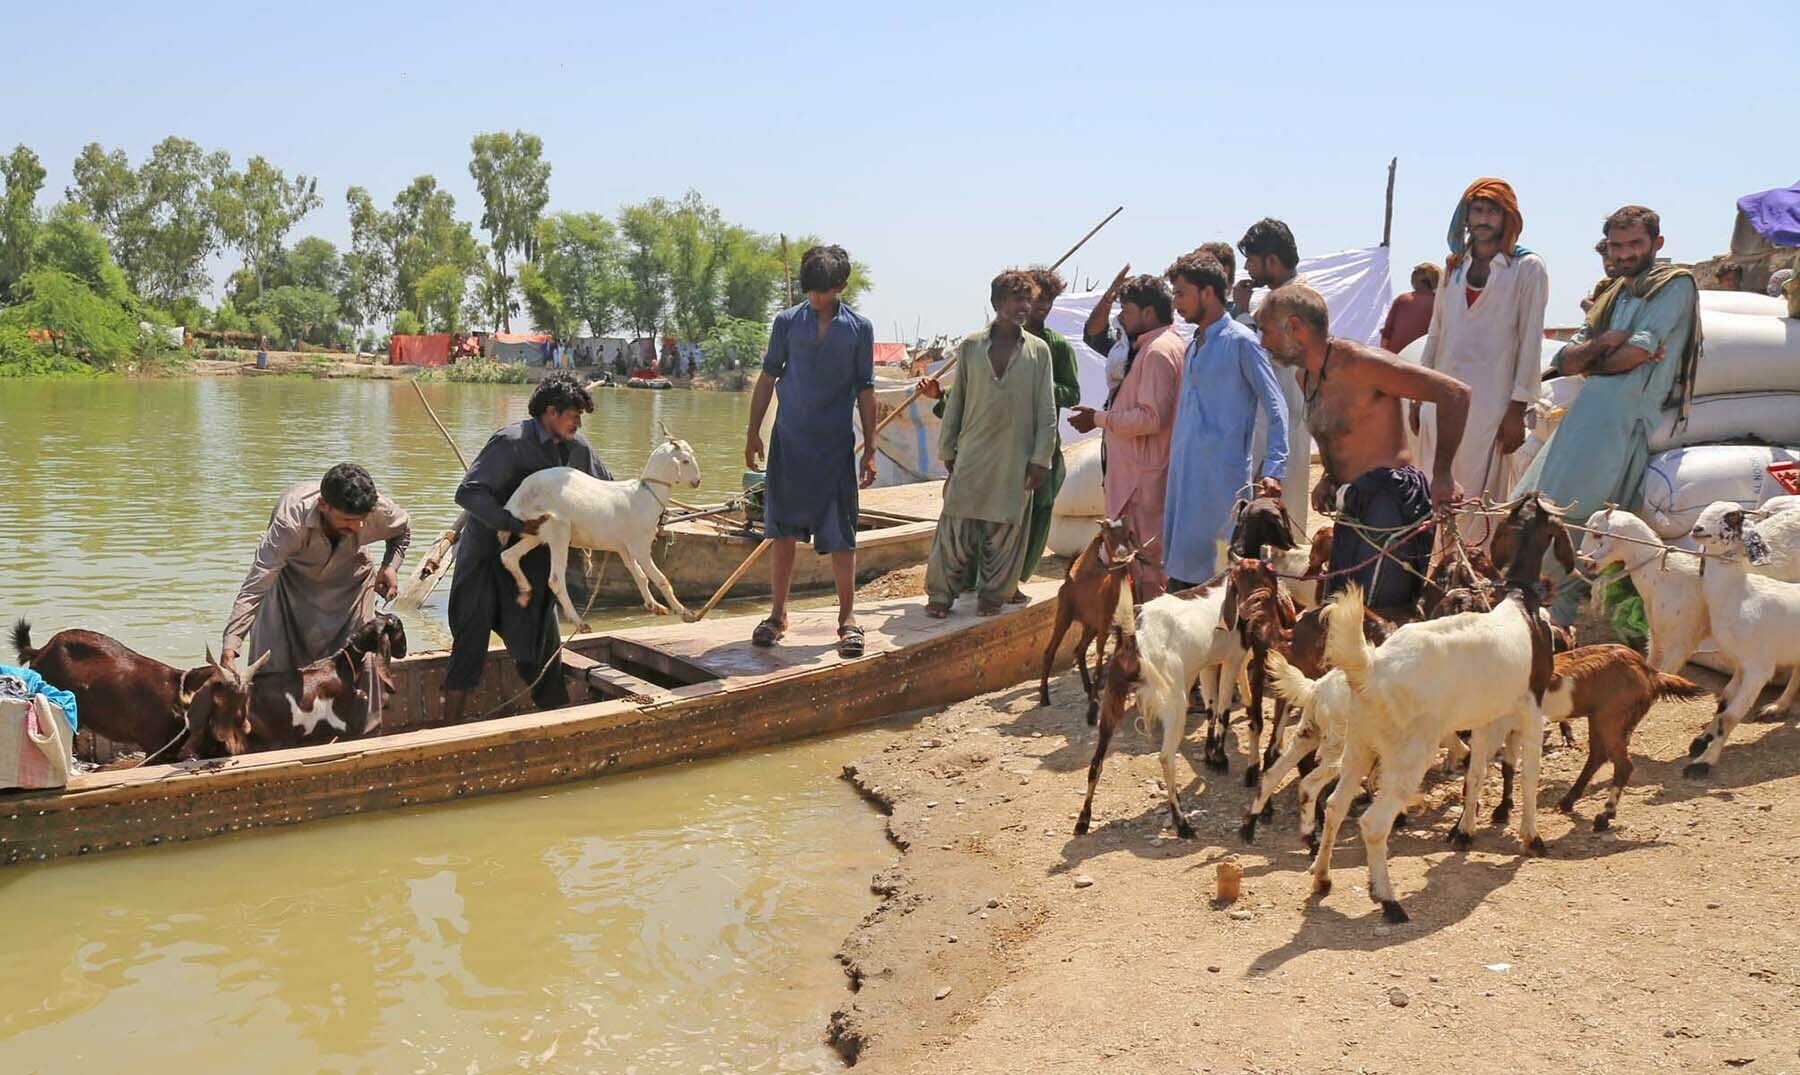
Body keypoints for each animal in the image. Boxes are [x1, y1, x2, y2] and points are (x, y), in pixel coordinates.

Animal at [507, 433, 709, 619]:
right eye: (685, 461)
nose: (697, 481)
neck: (644, 495)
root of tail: (517, 498)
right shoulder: (640, 547)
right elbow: (661, 580)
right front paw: (684, 612)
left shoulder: (623, 548)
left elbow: (640, 576)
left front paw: (655, 606)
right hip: (558, 530)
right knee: (556, 580)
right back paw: (579, 622)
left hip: (535, 532)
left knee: (509, 556)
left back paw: (525, 591)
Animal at [1267, 583, 1548, 929]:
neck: (1524, 611)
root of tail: (1370, 667)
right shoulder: (1532, 707)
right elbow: (1529, 775)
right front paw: (1532, 839)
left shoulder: (1484, 719)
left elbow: (1476, 773)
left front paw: (1465, 832)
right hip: (1408, 755)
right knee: (1373, 823)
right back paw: (1389, 901)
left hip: (1358, 747)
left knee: (1334, 804)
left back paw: (1322, 876)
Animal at [1677, 500, 1800, 774]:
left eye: (1732, 516)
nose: (1697, 529)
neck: (1739, 596)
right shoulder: (1741, 664)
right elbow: (1723, 701)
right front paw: (1702, 740)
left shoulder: (1758, 668)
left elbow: (1731, 715)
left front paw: (1704, 763)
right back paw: (1777, 707)